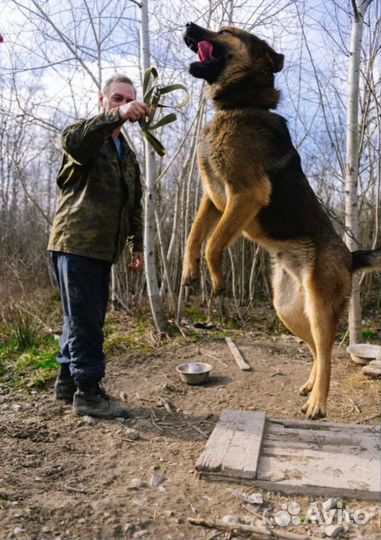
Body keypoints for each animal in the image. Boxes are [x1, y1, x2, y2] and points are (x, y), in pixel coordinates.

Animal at [182, 22, 380, 418]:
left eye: (225, 30)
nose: (189, 27)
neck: (242, 104)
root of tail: (350, 257)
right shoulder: (213, 198)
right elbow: (195, 236)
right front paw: (190, 271)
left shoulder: (245, 194)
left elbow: (213, 242)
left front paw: (217, 279)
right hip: (288, 309)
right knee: (318, 349)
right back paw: (310, 386)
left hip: (318, 307)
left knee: (328, 351)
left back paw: (319, 403)